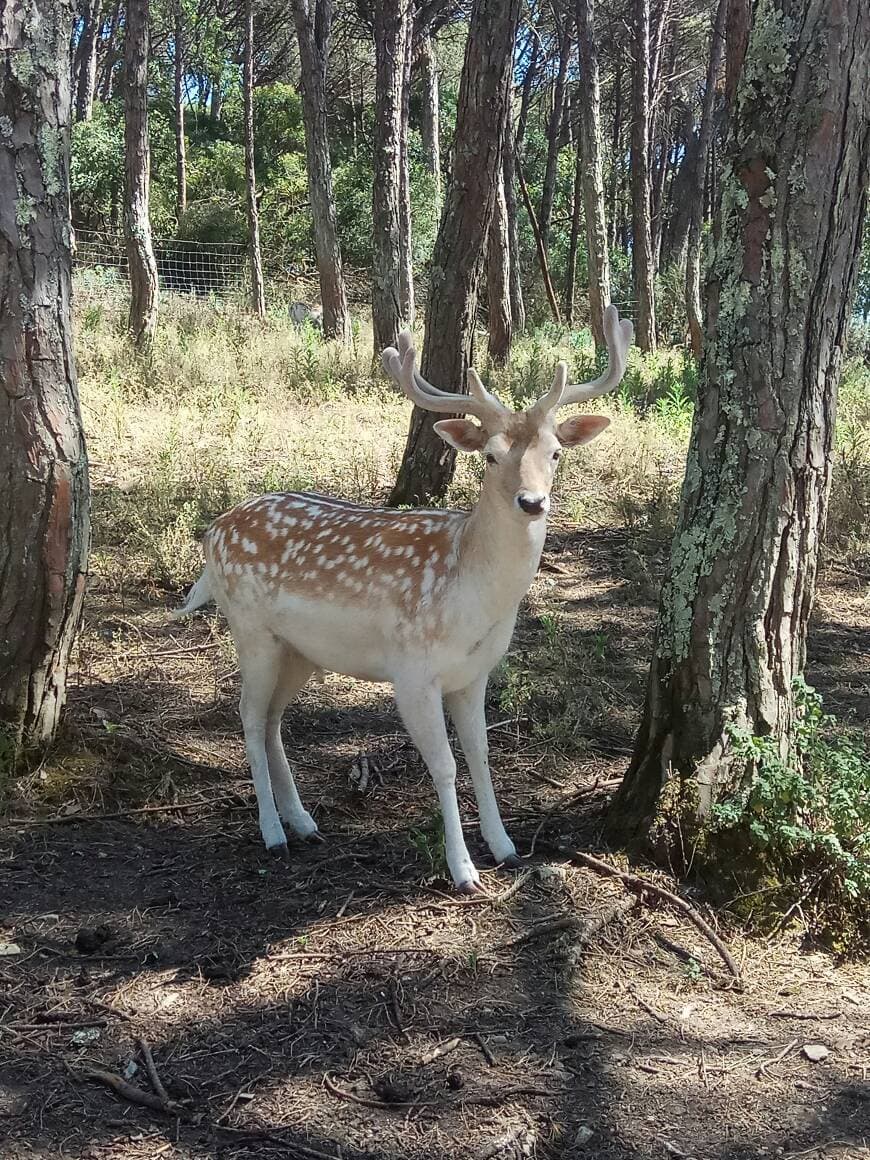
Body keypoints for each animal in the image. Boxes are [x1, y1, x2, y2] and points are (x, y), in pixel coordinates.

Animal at [171, 303, 635, 890]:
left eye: (554, 453)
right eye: (489, 456)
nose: (532, 502)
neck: (470, 598)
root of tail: (213, 532)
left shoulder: (475, 672)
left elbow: (482, 752)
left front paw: (505, 846)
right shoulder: (412, 671)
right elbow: (445, 764)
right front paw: (463, 870)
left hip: (298, 650)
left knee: (274, 719)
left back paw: (304, 822)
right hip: (250, 631)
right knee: (250, 717)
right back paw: (273, 832)